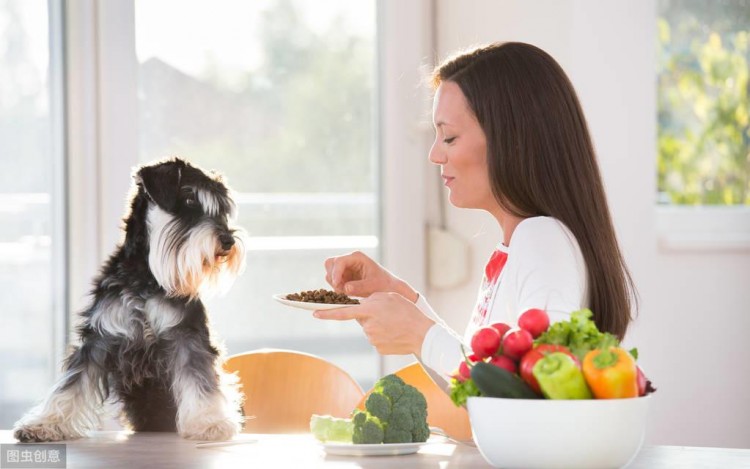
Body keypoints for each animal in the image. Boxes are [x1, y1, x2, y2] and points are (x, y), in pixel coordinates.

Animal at [13, 158, 247, 442]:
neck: (145, 278)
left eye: (222, 210)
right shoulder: (99, 337)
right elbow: (71, 383)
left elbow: (200, 378)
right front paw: (44, 424)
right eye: (189, 199)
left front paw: (210, 422)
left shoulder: (186, 334)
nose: (228, 240)